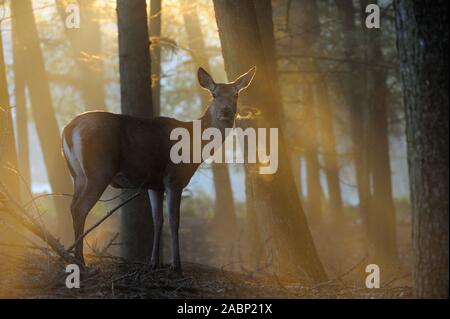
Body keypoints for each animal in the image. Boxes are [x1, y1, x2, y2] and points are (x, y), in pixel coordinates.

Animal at [61, 66, 255, 274]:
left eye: (236, 94)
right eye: (214, 94)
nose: (226, 111)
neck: (195, 146)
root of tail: (69, 129)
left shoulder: (154, 184)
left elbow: (157, 220)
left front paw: (154, 263)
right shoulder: (174, 177)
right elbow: (174, 221)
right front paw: (176, 266)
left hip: (77, 175)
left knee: (72, 206)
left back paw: (74, 258)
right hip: (99, 170)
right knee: (80, 208)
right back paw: (81, 262)